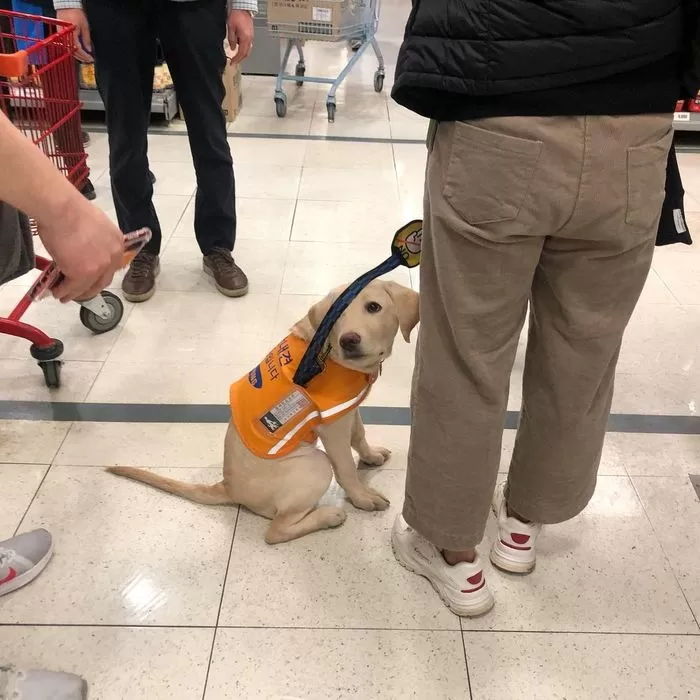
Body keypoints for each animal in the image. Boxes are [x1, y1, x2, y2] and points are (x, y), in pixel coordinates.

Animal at [108, 282, 416, 544]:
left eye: (374, 307)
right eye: (337, 315)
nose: (348, 340)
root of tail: (227, 486)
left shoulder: (348, 409)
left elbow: (360, 435)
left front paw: (371, 456)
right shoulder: (333, 425)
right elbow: (347, 469)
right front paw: (363, 498)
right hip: (315, 464)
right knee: (276, 531)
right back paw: (329, 515)